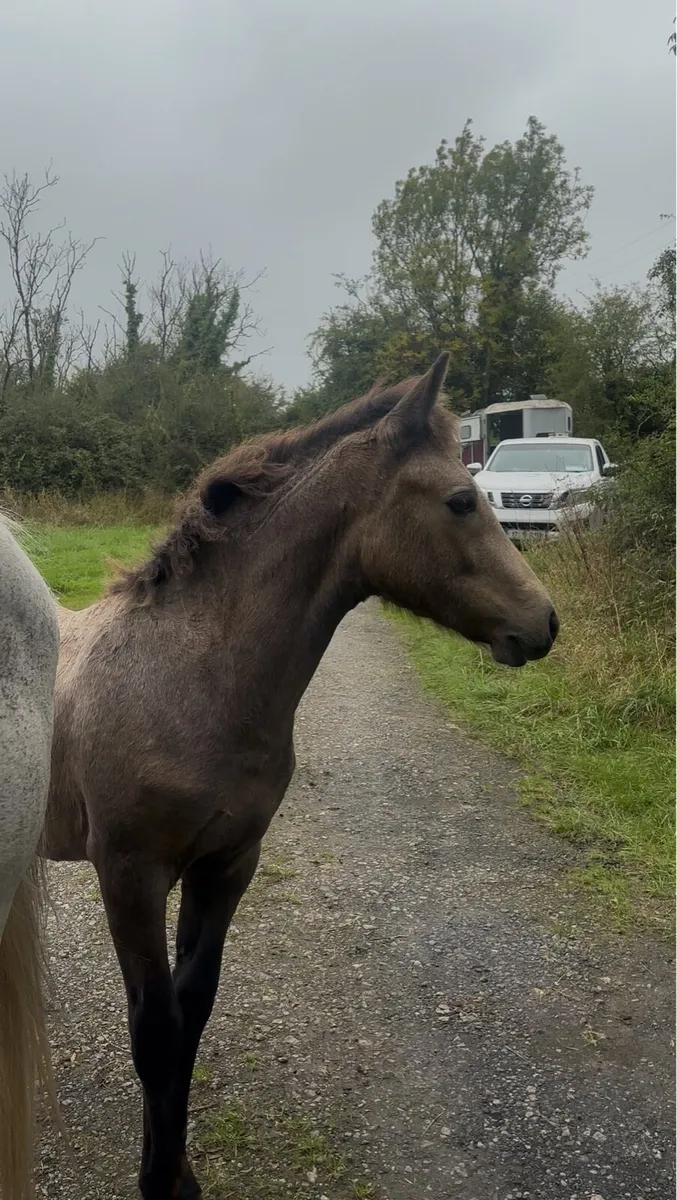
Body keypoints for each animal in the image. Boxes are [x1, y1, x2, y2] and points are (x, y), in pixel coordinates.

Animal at [41, 354, 559, 1199]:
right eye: (459, 499)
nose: (543, 623)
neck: (187, 675)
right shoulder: (128, 872)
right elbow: (153, 1029)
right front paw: (159, 1182)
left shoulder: (227, 864)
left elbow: (190, 1014)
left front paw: (178, 1172)